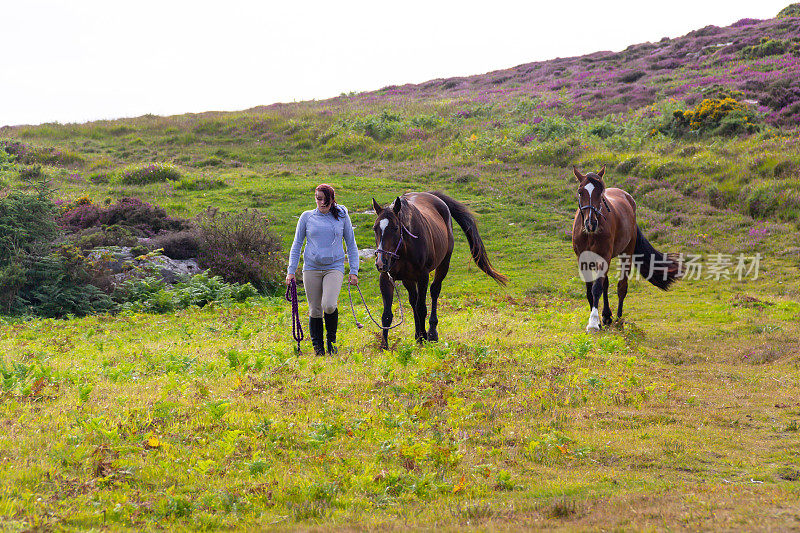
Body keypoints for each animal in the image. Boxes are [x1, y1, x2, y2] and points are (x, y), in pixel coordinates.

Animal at [370, 191, 506, 350]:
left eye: (396, 228)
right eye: (375, 228)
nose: (381, 262)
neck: (404, 248)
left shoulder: (422, 276)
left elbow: (422, 308)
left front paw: (424, 337)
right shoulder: (386, 277)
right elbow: (387, 314)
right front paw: (384, 346)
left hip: (443, 264)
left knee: (434, 291)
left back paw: (431, 332)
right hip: (407, 279)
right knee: (413, 300)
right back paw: (417, 335)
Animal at [572, 168, 684, 330]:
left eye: (600, 193)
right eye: (580, 192)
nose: (591, 223)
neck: (590, 233)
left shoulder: (604, 256)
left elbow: (596, 288)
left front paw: (593, 322)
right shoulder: (583, 259)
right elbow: (590, 290)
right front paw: (597, 320)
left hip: (626, 254)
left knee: (621, 287)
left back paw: (618, 319)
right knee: (606, 284)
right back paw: (606, 316)